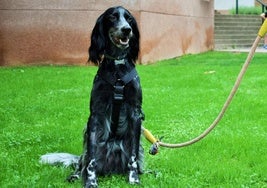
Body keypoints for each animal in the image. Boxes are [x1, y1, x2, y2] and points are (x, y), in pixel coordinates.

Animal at [40, 6, 144, 187]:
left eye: (129, 19)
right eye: (112, 17)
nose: (127, 30)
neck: (117, 66)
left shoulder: (135, 113)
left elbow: (133, 156)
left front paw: (134, 178)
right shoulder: (95, 114)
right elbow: (91, 160)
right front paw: (90, 181)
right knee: (81, 161)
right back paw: (74, 176)